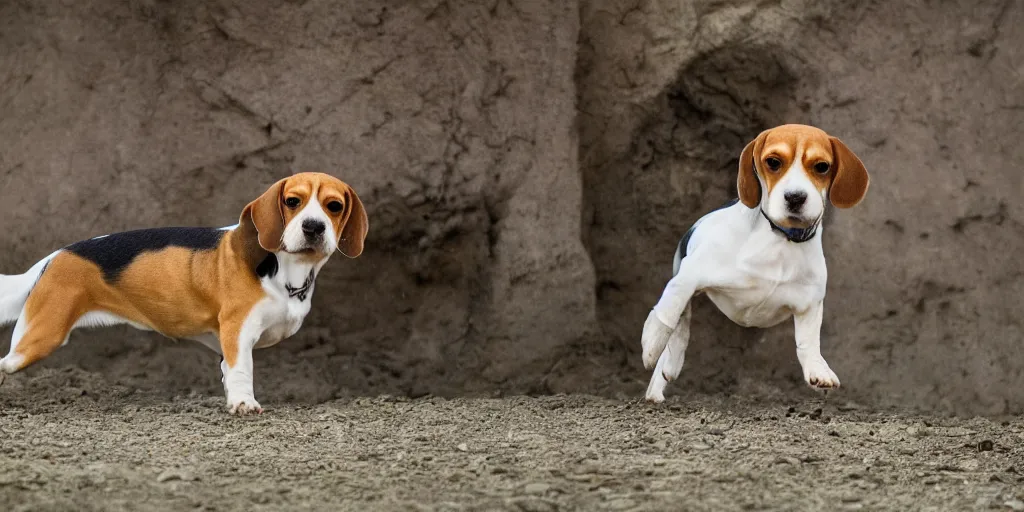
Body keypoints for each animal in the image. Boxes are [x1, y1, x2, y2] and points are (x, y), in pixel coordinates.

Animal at [0, 174, 368, 413]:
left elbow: (229, 372)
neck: (286, 269)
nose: (313, 227)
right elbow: (242, 370)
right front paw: (244, 404)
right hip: (37, 339)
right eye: (293, 201)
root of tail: (53, 257)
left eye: (334, 206)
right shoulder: (238, 331)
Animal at [643, 124, 868, 403]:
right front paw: (652, 343)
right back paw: (668, 367)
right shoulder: (689, 276)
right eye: (773, 162)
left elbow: (809, 341)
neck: (781, 237)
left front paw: (817, 368)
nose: (795, 197)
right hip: (684, 278)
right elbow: (667, 313)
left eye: (822, 167)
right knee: (680, 324)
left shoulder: (810, 303)